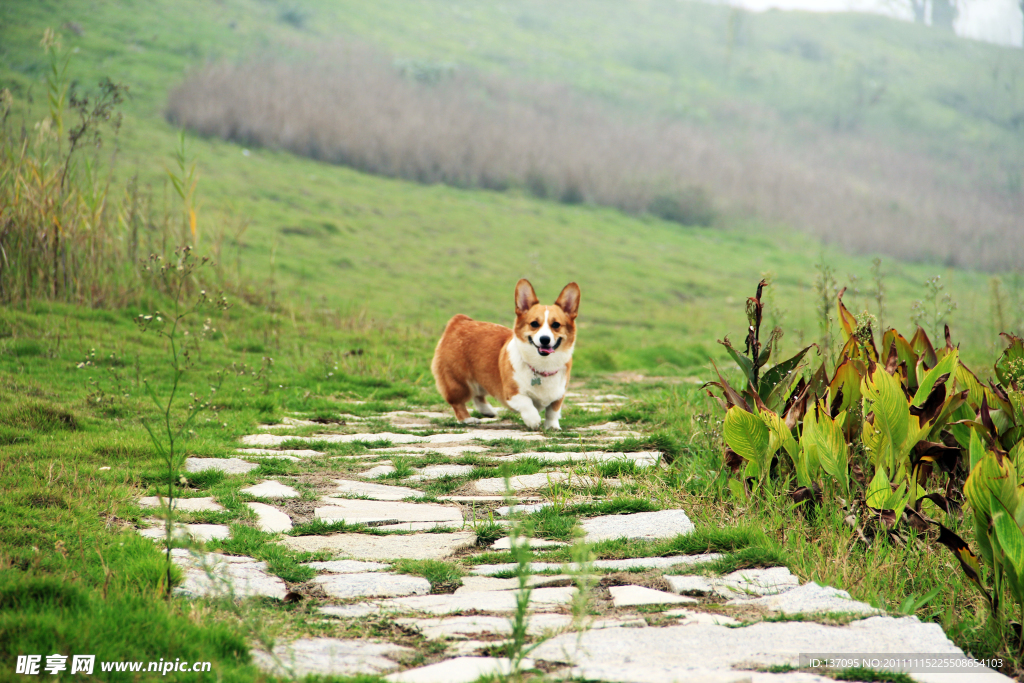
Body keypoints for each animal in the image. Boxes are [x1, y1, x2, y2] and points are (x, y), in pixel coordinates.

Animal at [428, 278, 581, 430]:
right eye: (534, 324)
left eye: (556, 325)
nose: (544, 339)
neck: (542, 366)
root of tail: (459, 321)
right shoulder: (512, 393)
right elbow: (527, 403)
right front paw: (533, 420)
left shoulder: (559, 394)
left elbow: (553, 411)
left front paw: (552, 427)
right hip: (458, 383)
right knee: (458, 403)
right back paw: (467, 419)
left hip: (483, 377)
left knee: (478, 396)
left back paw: (488, 411)